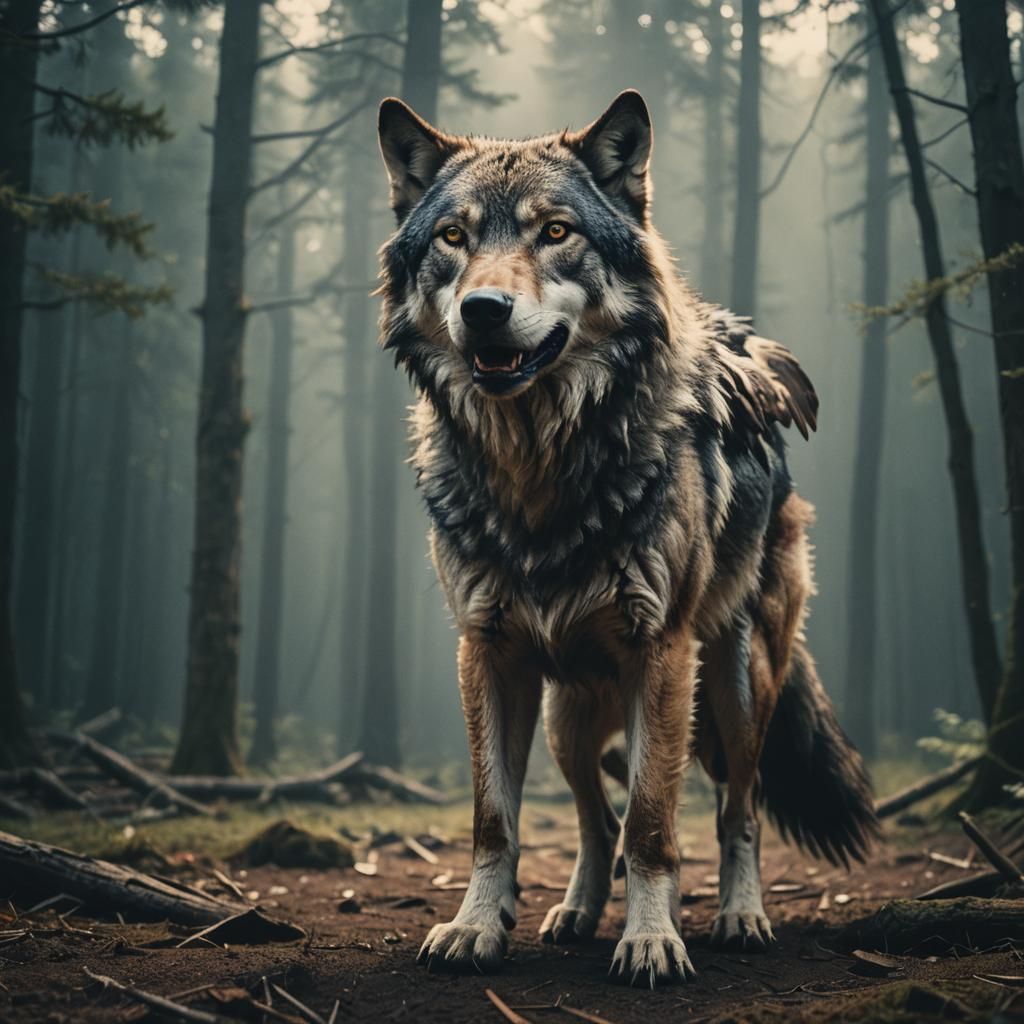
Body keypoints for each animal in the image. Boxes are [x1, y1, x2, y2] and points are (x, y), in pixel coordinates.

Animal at [375, 90, 878, 986]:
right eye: (453, 238)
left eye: (555, 231)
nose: (482, 310)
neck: (538, 470)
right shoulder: (487, 653)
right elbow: (495, 821)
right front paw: (476, 927)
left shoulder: (662, 654)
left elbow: (654, 823)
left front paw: (650, 941)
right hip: (567, 718)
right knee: (594, 821)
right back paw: (573, 913)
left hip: (734, 685)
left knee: (734, 809)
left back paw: (739, 917)